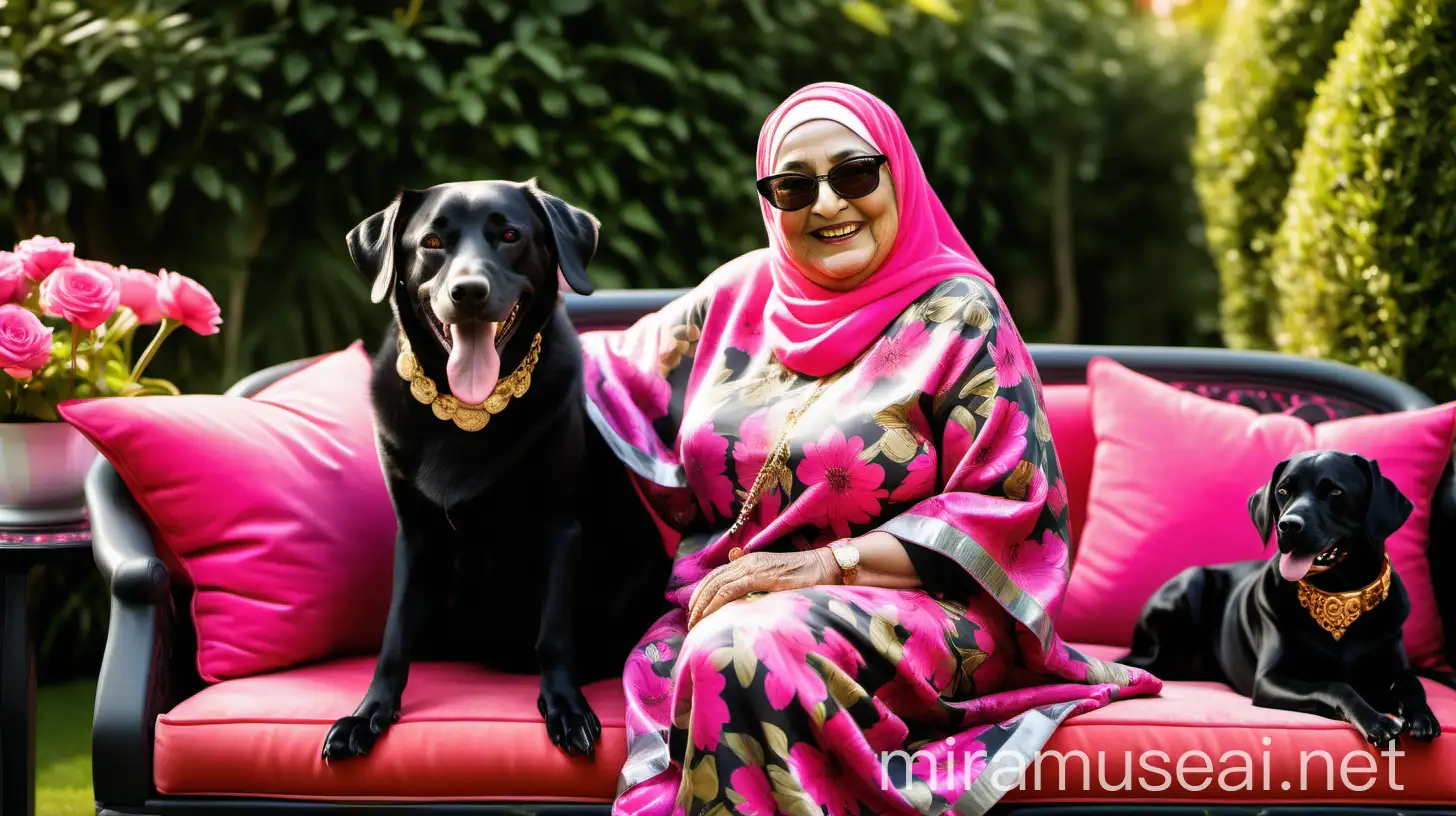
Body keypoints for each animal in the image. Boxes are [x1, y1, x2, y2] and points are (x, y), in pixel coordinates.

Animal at [321, 178, 666, 763]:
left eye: (510, 236)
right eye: (432, 242)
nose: (468, 292)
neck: (469, 412)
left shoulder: (559, 526)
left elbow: (553, 632)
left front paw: (566, 707)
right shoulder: (415, 534)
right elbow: (394, 636)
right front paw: (367, 714)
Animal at [1118, 448, 1438, 751]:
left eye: (1335, 492)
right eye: (1283, 491)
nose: (1288, 525)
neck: (1338, 595)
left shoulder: (1390, 667)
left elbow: (1412, 681)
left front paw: (1422, 717)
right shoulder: (1270, 681)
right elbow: (1336, 686)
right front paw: (1376, 721)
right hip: (1191, 583)